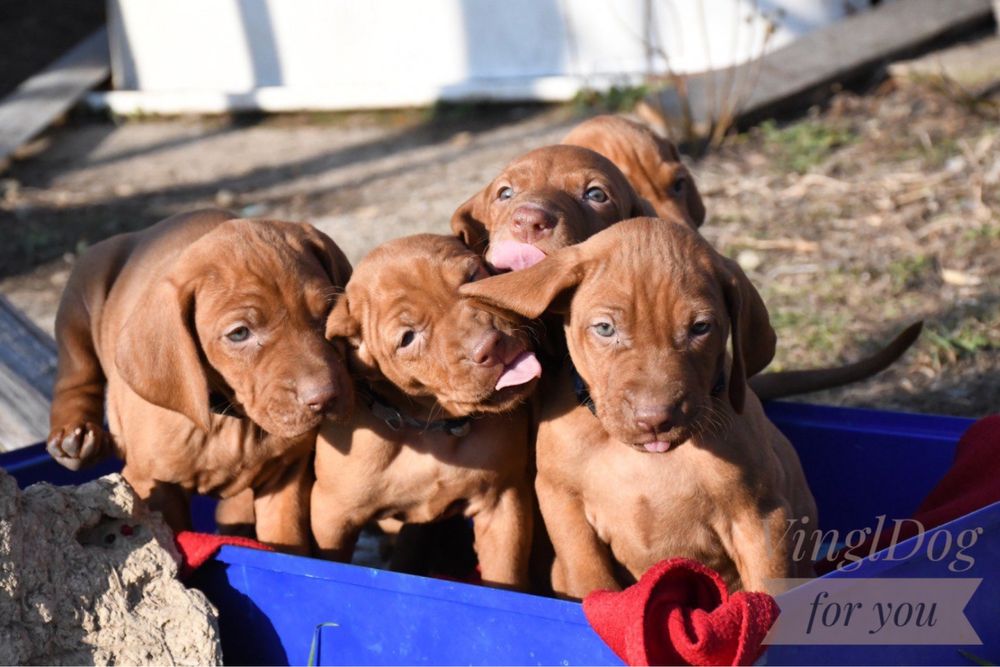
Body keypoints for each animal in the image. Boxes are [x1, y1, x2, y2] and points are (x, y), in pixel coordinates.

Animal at [47, 210, 352, 552]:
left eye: (329, 311)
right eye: (239, 333)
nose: (325, 397)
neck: (231, 416)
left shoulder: (286, 475)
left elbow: (285, 540)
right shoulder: (153, 482)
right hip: (81, 298)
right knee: (76, 372)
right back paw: (75, 436)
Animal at [316, 234, 544, 588]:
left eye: (473, 277)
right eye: (408, 338)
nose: (490, 345)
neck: (428, 426)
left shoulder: (502, 502)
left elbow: (504, 577)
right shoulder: (331, 516)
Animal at [460, 217, 820, 596]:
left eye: (700, 327)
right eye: (605, 328)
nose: (655, 420)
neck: (644, 461)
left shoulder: (760, 515)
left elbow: (769, 593)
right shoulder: (562, 500)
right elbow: (590, 579)